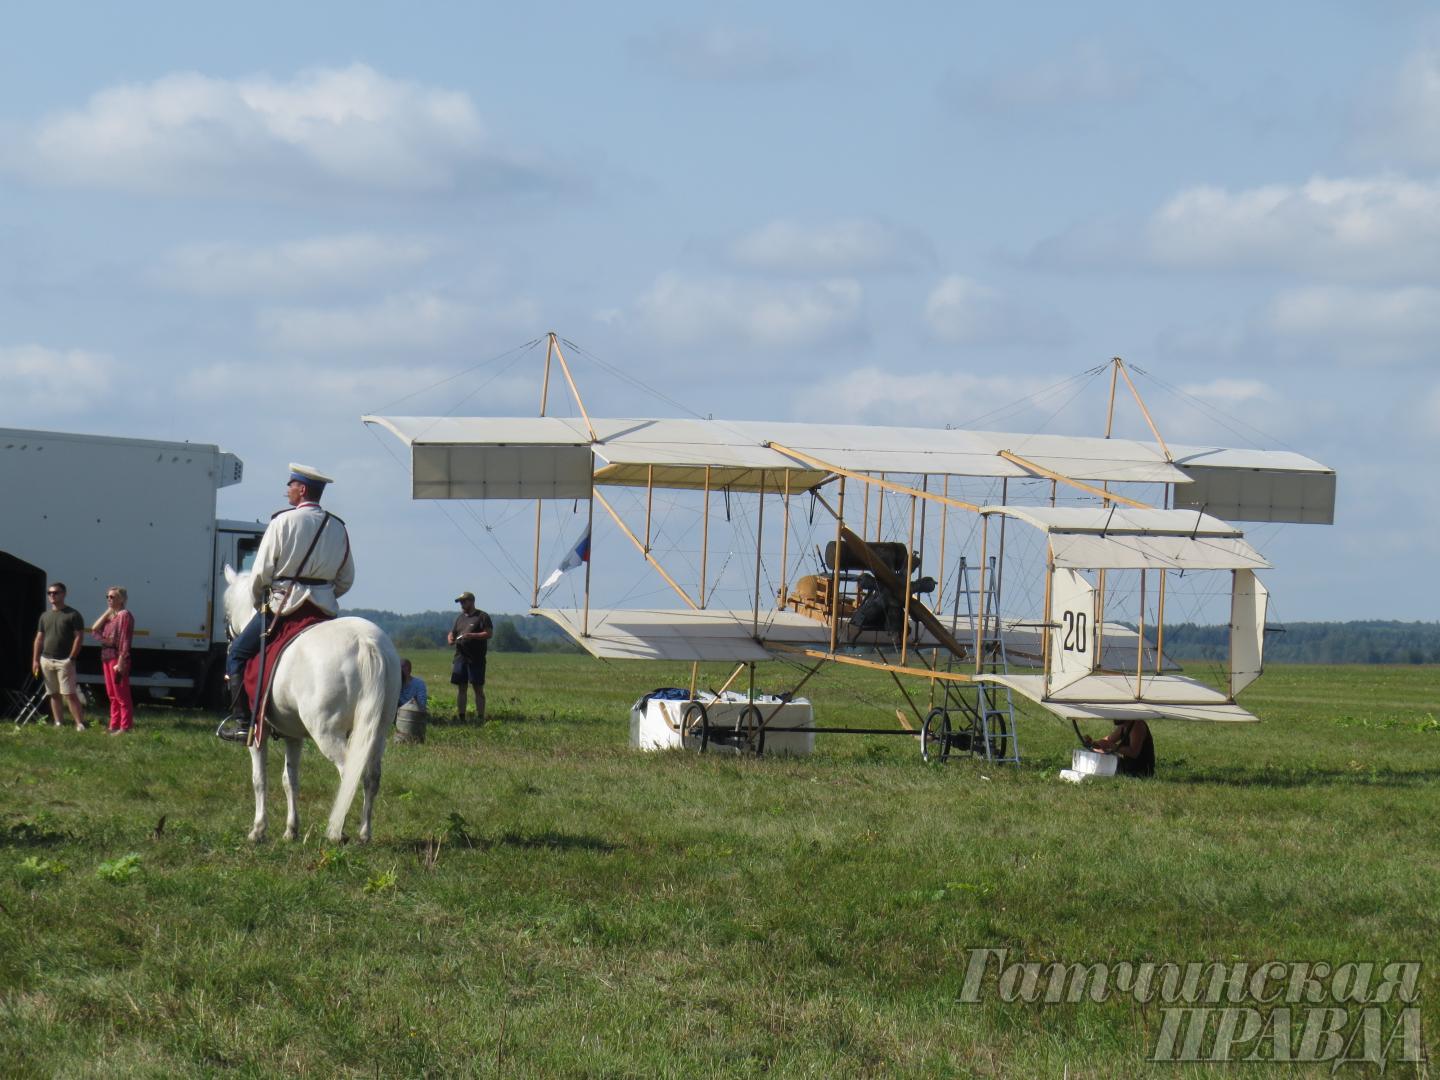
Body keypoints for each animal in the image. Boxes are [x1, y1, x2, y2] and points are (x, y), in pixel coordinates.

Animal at [220, 567, 400, 846]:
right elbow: (290, 780)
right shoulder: (293, 736)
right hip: (377, 732)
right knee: (371, 777)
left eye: (226, 612)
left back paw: (337, 832)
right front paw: (291, 829)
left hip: (327, 733)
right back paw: (364, 833)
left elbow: (259, 780)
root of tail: (366, 643)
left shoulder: (257, 733)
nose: (229, 641)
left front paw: (258, 830)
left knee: (349, 774)